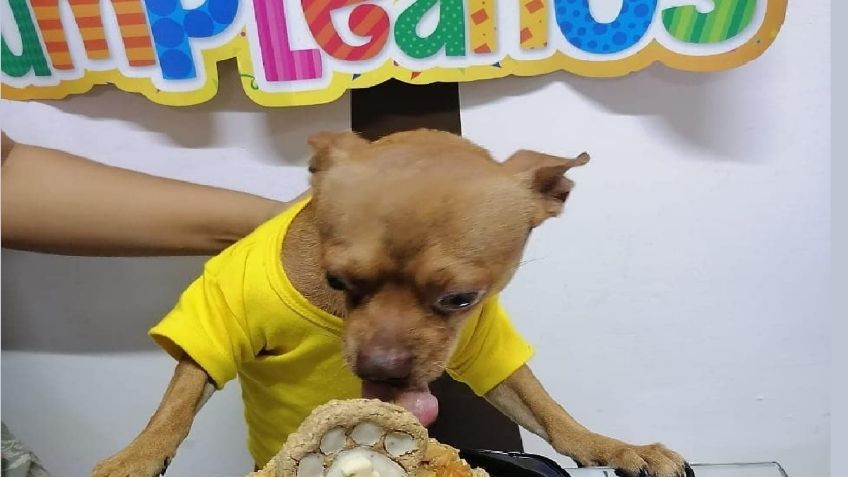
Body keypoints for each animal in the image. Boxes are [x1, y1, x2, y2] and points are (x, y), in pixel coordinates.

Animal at [89, 129, 692, 476]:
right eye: (335, 280)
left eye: (462, 299)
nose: (379, 369)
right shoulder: (217, 319)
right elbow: (179, 396)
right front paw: (136, 457)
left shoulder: (489, 349)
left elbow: (547, 410)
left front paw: (611, 446)